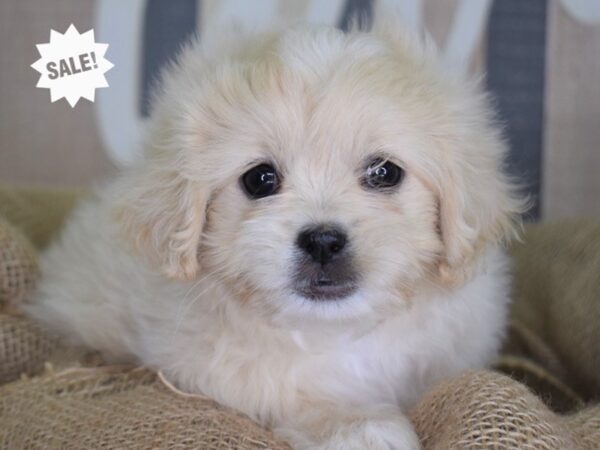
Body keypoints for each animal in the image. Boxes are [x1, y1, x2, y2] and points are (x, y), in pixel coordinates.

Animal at [25, 16, 524, 450]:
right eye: (260, 179)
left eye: (384, 173)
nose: (323, 240)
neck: (333, 330)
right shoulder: (210, 364)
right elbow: (286, 390)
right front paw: (358, 426)